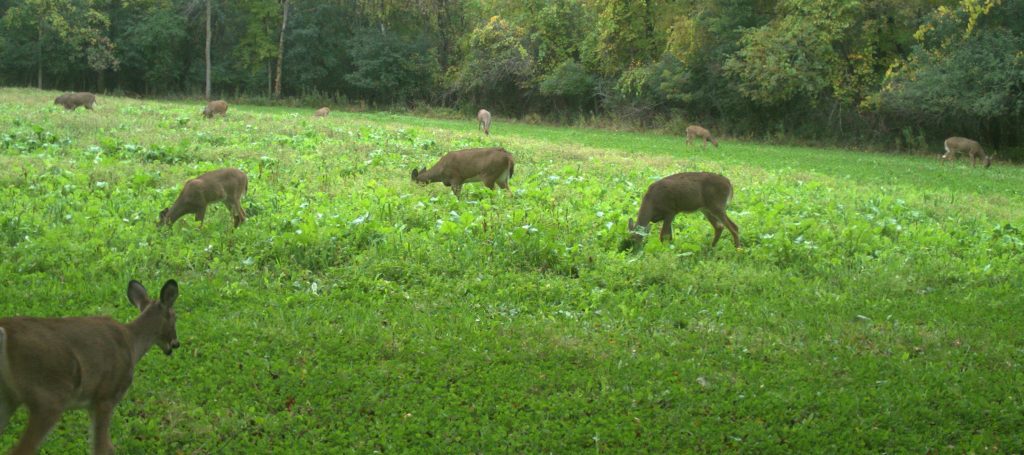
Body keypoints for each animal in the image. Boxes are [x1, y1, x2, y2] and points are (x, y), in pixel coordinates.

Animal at [0, 278, 180, 452]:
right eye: (175, 316)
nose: (176, 343)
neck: (132, 343)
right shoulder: (106, 395)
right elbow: (103, 447)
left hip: (10, 397)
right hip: (48, 395)